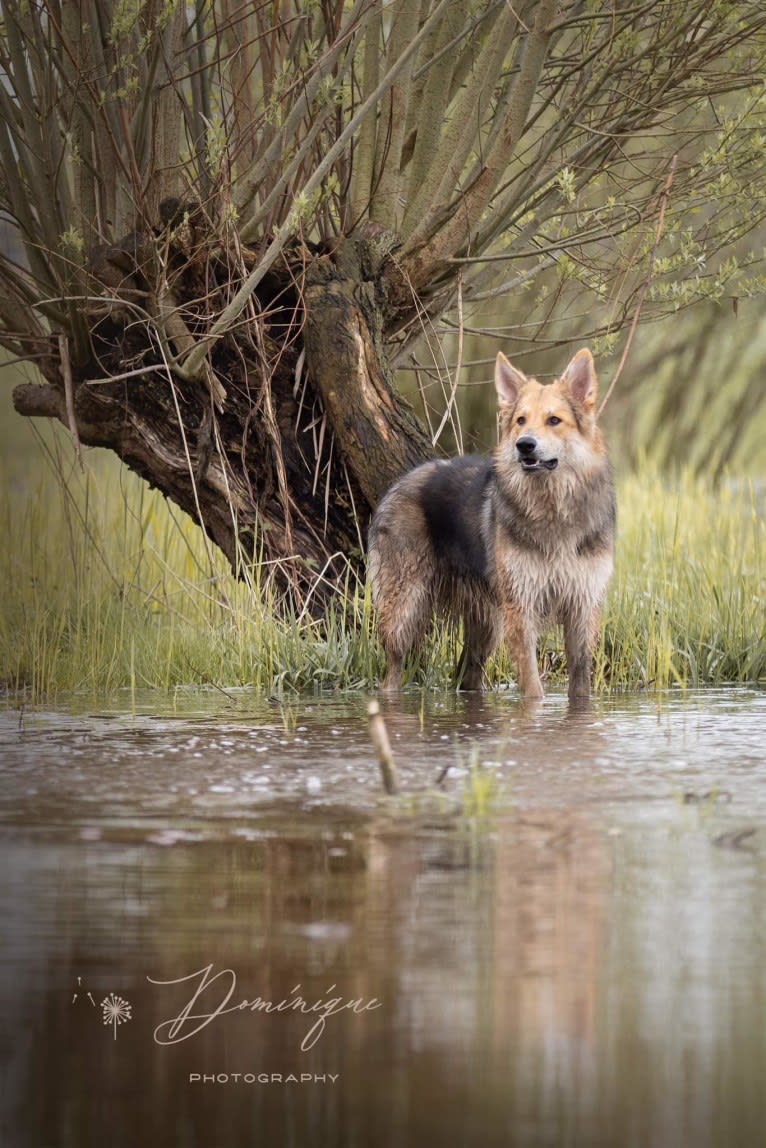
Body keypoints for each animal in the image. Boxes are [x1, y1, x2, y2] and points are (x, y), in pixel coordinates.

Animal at [367, 346, 615, 697]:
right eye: (521, 420)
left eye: (554, 420)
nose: (524, 445)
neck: (552, 510)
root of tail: (401, 480)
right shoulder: (521, 609)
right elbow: (533, 686)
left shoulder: (582, 609)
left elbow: (581, 686)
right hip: (404, 611)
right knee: (392, 673)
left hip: (487, 626)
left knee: (467, 677)